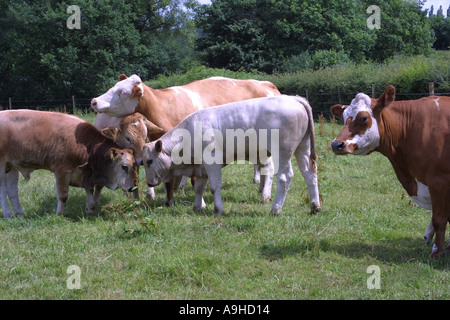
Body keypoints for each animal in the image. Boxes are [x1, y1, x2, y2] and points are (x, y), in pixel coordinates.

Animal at [0, 109, 137, 218]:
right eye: (125, 167)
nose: (132, 188)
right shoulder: (62, 170)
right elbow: (63, 195)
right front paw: (59, 214)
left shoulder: (85, 174)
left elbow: (89, 191)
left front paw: (90, 209)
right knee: (3, 190)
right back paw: (8, 214)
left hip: (11, 167)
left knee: (12, 191)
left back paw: (20, 214)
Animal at [91, 74, 282, 205]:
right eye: (114, 86)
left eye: (121, 92)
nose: (94, 101)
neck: (164, 106)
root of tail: (267, 84)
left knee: (268, 166)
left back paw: (264, 193)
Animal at [141, 95, 320, 215]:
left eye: (149, 161)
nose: (149, 183)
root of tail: (294, 98)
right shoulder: (201, 167)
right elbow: (199, 187)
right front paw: (197, 206)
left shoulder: (212, 161)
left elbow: (214, 187)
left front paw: (218, 209)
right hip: (302, 148)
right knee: (310, 174)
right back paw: (315, 206)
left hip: (282, 151)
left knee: (284, 177)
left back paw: (275, 209)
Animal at [330, 85, 450, 260]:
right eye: (343, 117)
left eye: (363, 118)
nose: (336, 144)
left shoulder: (439, 180)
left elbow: (439, 219)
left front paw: (437, 252)